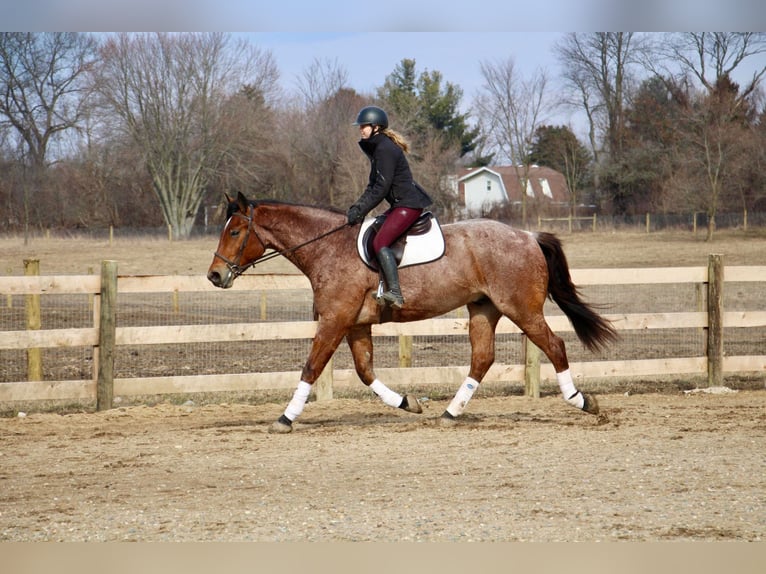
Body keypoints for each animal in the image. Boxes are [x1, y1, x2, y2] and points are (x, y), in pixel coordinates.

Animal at [208, 191, 616, 434]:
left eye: (235, 232)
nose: (214, 276)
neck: (327, 247)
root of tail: (528, 236)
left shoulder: (335, 321)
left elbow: (311, 367)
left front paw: (285, 418)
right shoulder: (354, 325)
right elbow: (365, 372)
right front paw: (408, 403)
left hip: (521, 309)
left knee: (554, 346)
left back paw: (583, 402)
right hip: (484, 309)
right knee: (482, 358)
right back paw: (450, 412)